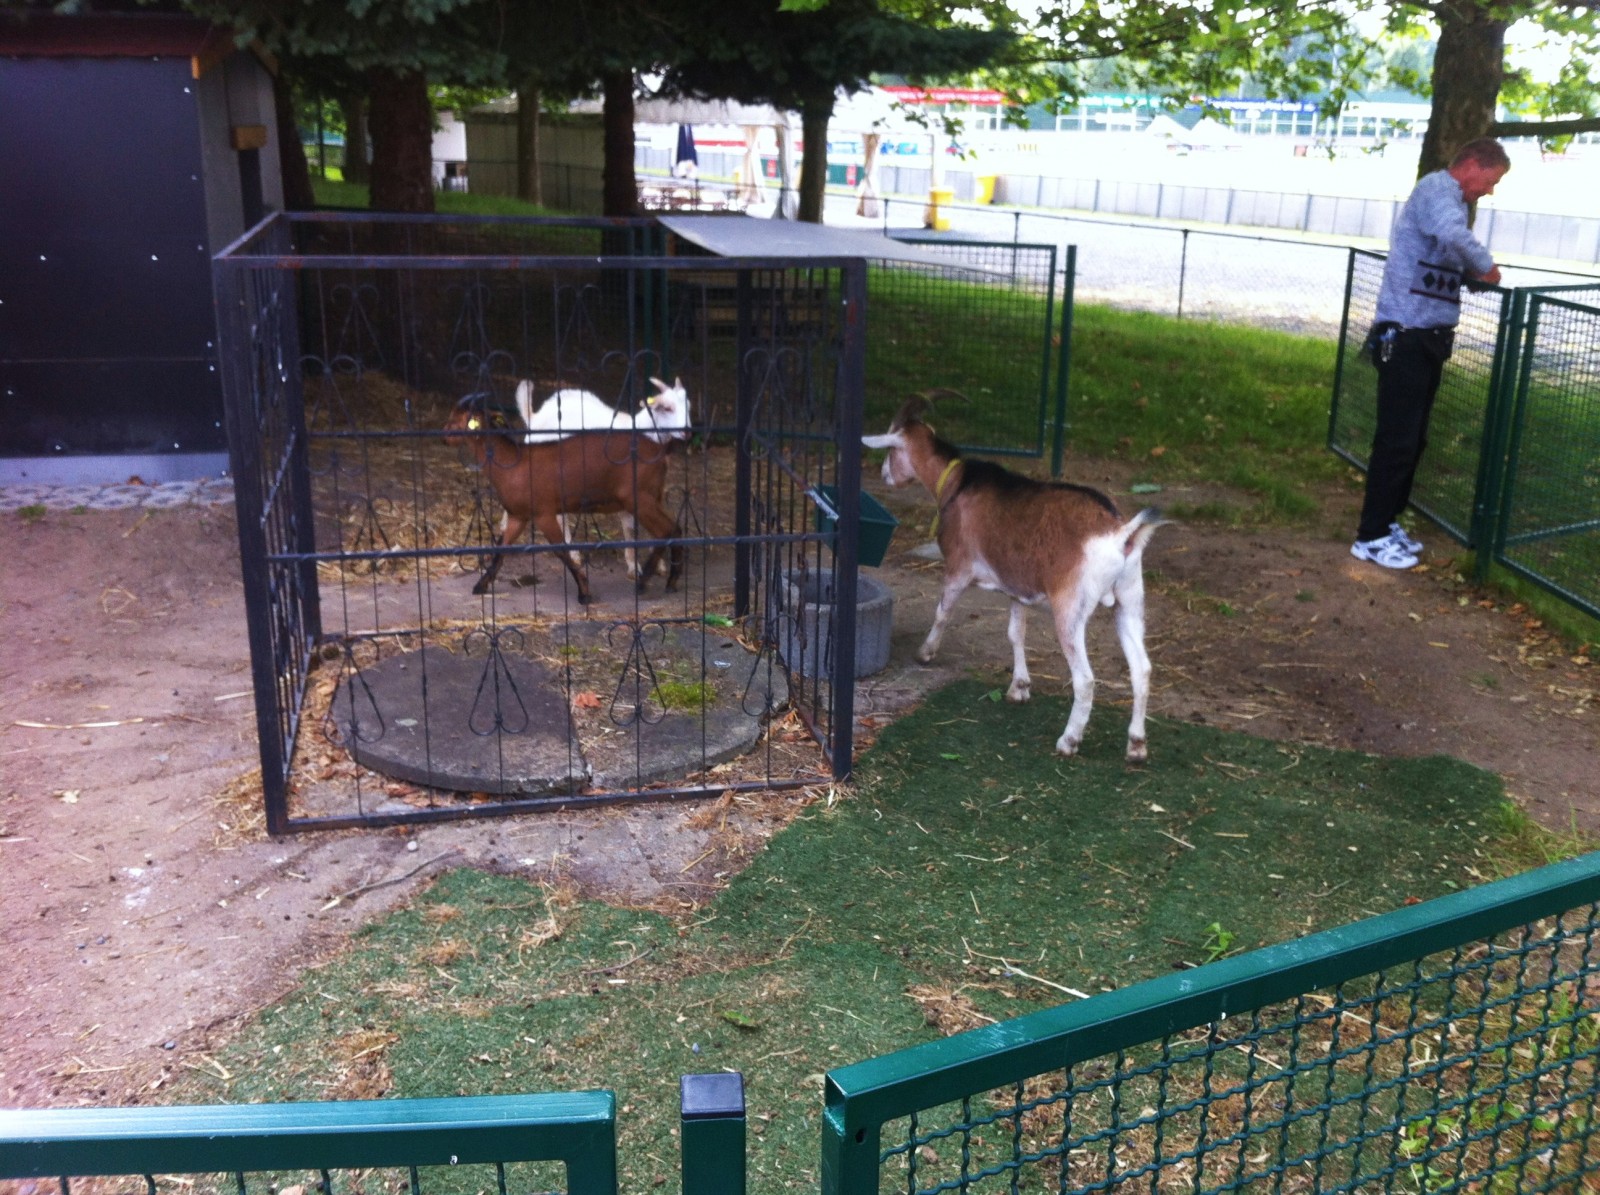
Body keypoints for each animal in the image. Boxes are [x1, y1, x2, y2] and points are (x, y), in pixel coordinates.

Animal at [444, 399, 681, 607]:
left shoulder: (544, 514)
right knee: (676, 529)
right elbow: (500, 551)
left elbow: (562, 552)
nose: (444, 435)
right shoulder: (518, 516)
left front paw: (584, 592)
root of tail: (661, 453)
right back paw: (671, 582)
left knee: (665, 531)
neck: (511, 465)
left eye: (460, 419)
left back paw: (643, 583)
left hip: (638, 498)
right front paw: (480, 586)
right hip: (653, 496)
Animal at [512, 375, 688, 575]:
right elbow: (630, 528)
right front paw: (633, 567)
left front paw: (660, 564)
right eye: (667, 408)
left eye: (687, 405)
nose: (687, 431)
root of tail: (534, 417)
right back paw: (573, 553)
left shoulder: (655, 491)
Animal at [870, 396, 1171, 761]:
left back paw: (1069, 741)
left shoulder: (958, 566)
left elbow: (943, 611)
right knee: (1142, 669)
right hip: (1130, 599)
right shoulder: (1017, 588)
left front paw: (925, 653)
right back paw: (1137, 746)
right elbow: (1016, 633)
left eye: (890, 448)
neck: (958, 483)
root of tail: (1121, 534)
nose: (884, 474)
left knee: (1085, 679)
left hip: (1071, 607)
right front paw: (1019, 688)